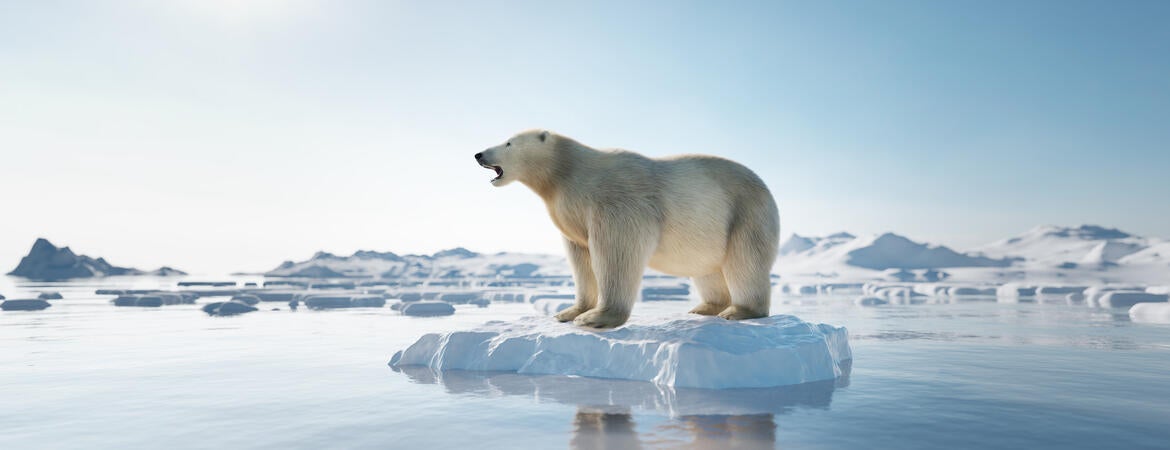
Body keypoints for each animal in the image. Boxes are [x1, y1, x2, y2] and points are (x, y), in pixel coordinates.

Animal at [475, 130, 780, 328]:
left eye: (508, 142)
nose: (478, 154)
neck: (568, 172)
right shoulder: (572, 215)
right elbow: (581, 259)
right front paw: (569, 312)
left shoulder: (616, 201)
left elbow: (616, 251)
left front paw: (596, 318)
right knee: (707, 269)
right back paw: (704, 308)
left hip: (745, 213)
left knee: (745, 262)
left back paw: (738, 311)